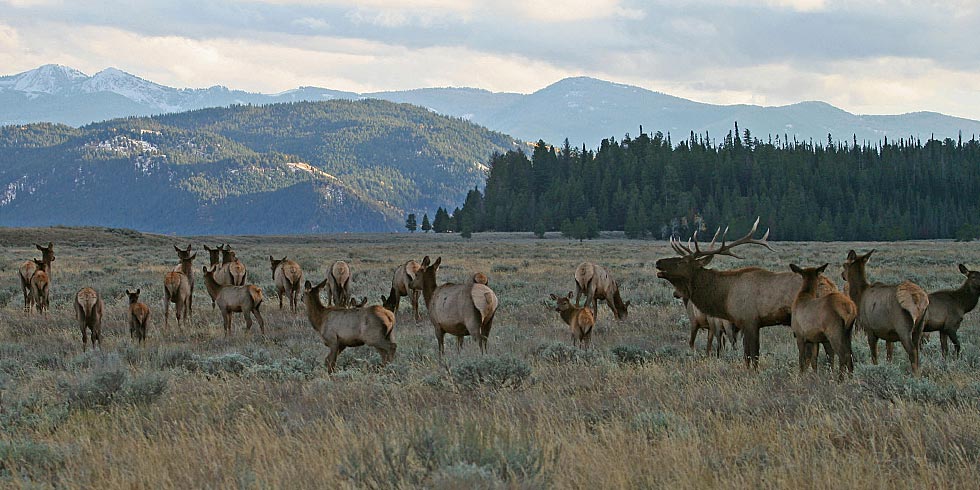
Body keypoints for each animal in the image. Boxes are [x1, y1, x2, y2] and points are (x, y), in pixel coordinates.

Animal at [656, 218, 840, 368]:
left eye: (682, 262)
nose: (658, 262)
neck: (725, 296)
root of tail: (832, 286)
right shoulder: (746, 323)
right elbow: (749, 355)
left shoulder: (750, 320)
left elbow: (751, 355)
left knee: (830, 349)